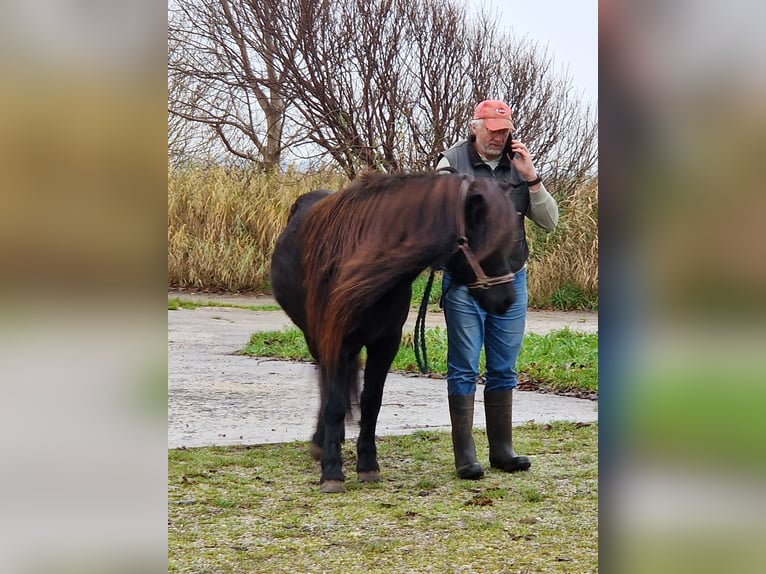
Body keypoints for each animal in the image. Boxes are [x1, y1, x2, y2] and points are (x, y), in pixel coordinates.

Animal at [270, 172, 518, 493]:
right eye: (487, 245)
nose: (508, 300)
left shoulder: (385, 342)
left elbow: (371, 402)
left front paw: (368, 465)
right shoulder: (334, 339)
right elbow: (335, 403)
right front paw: (332, 472)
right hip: (316, 339)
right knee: (326, 386)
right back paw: (322, 441)